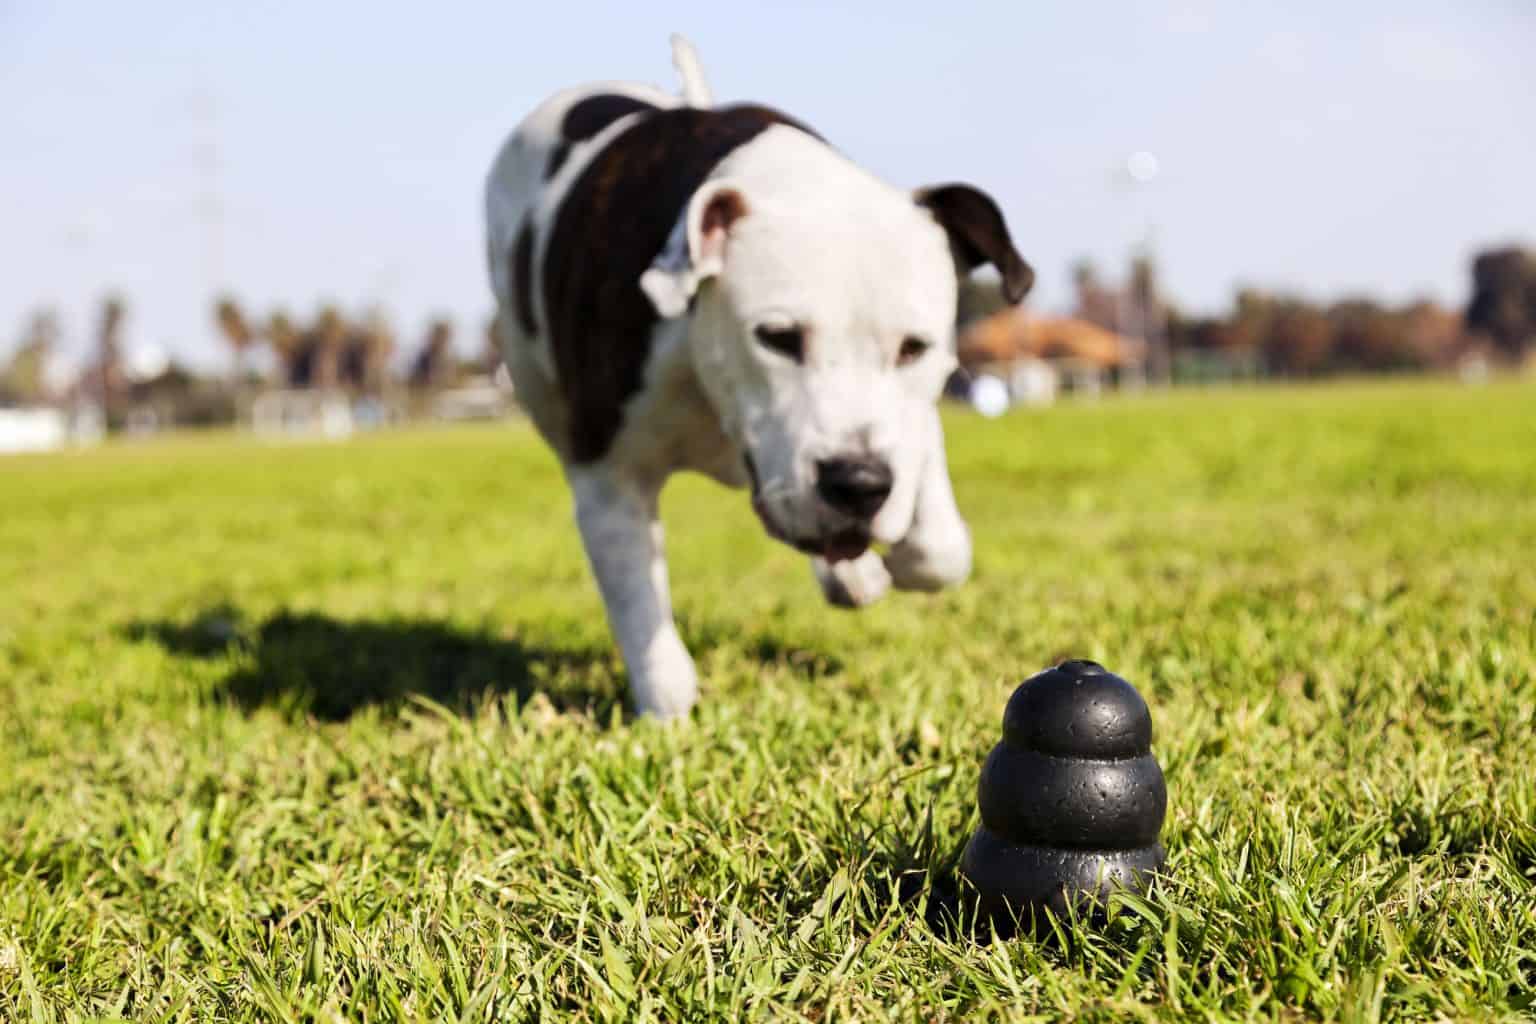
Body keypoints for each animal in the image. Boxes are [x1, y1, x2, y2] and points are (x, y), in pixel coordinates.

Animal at [479, 36, 1032, 718]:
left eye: (913, 348)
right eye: (777, 338)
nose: (858, 482)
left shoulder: (905, 425)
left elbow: (941, 548)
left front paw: (896, 554)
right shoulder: (608, 480)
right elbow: (643, 614)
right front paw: (667, 712)